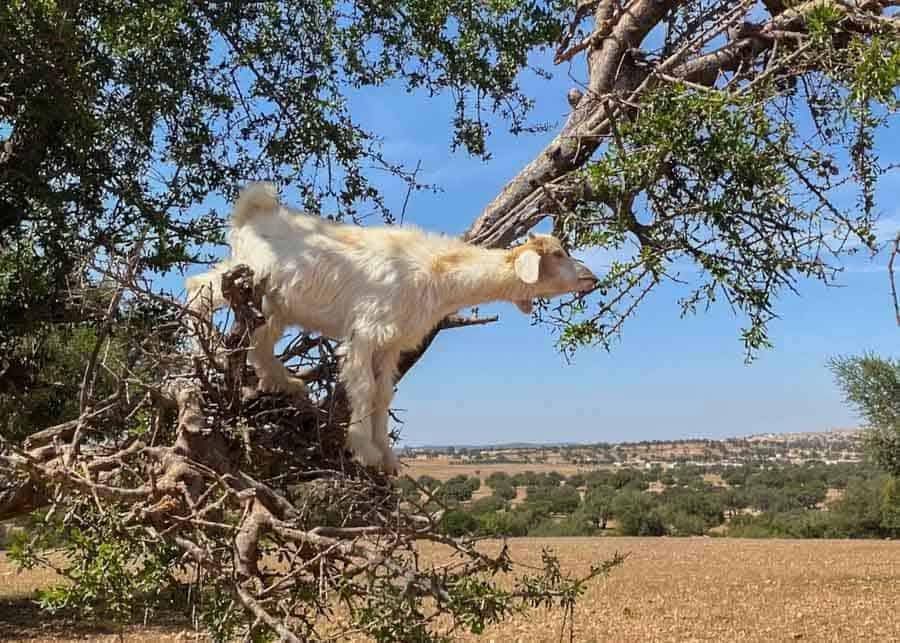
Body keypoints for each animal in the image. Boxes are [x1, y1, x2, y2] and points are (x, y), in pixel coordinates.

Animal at [186, 183, 599, 474]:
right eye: (557, 254)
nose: (591, 278)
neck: (435, 272)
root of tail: (255, 210)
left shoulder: (391, 343)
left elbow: (384, 393)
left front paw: (386, 456)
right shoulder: (367, 332)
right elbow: (364, 389)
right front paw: (363, 449)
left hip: (273, 301)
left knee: (258, 338)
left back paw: (281, 381)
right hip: (252, 275)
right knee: (198, 289)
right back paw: (198, 349)